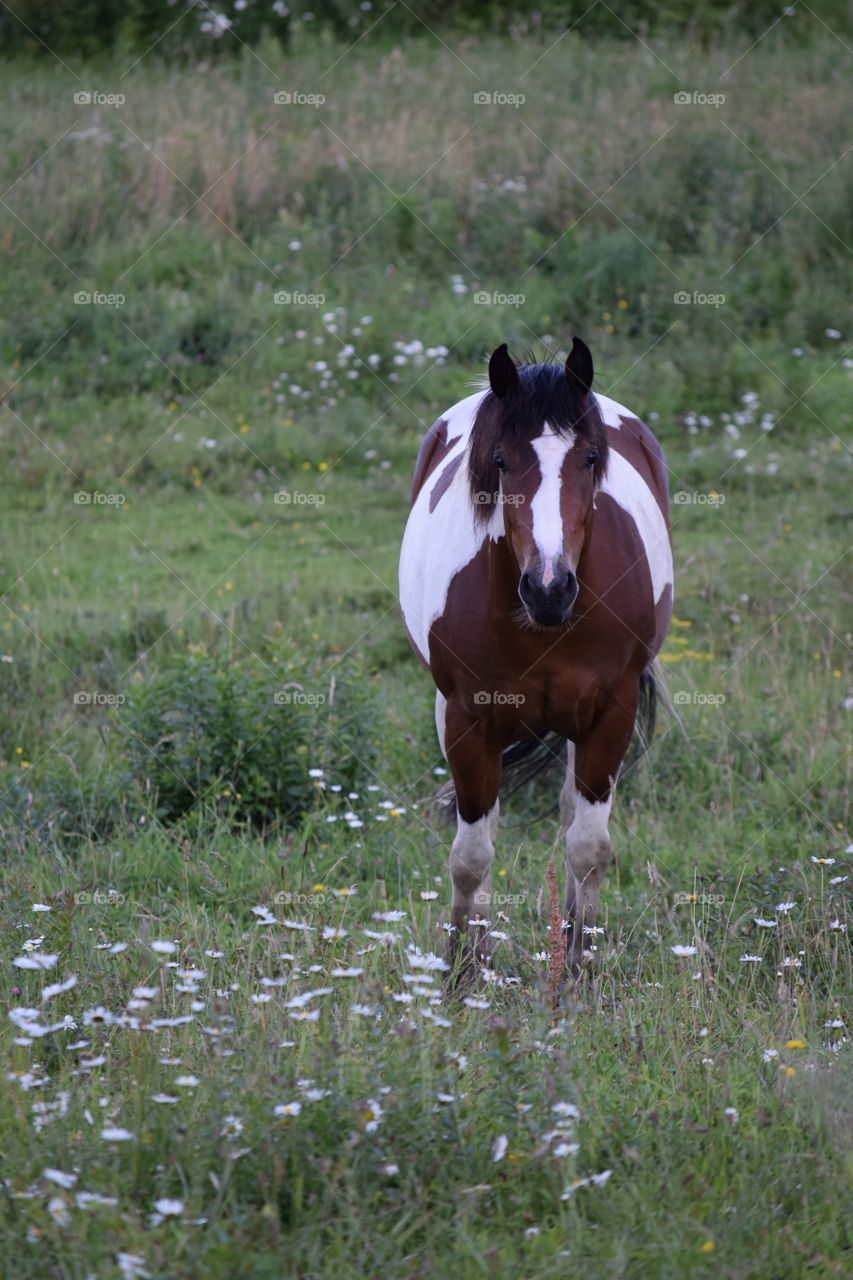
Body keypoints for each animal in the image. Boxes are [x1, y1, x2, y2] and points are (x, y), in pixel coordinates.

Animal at [399, 335, 671, 972]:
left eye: (591, 458)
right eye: (500, 462)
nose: (549, 588)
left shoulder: (610, 713)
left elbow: (589, 848)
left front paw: (579, 972)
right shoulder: (467, 718)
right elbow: (471, 855)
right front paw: (462, 974)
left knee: (572, 816)